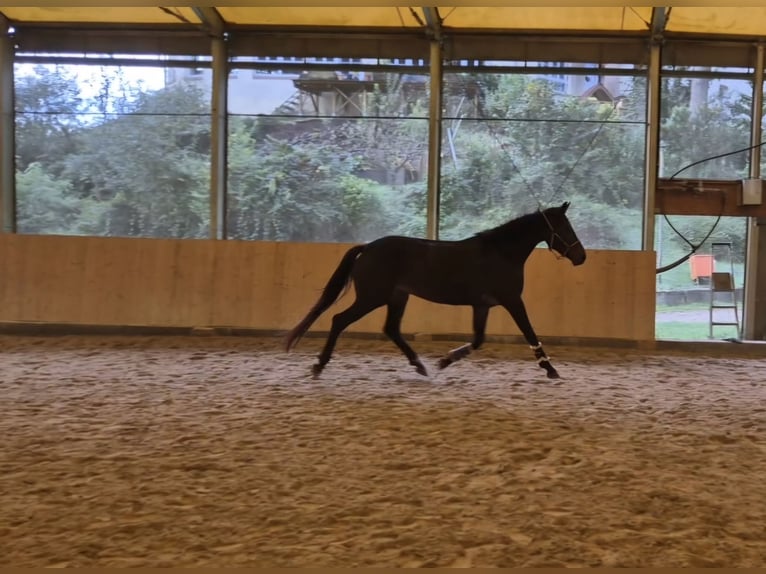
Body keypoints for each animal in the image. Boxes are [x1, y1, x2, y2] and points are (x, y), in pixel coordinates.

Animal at [286, 202, 588, 378]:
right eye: (565, 227)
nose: (581, 257)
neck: (501, 254)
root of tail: (368, 247)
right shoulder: (512, 300)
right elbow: (529, 332)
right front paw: (550, 368)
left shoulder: (482, 305)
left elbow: (478, 340)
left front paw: (445, 360)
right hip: (373, 297)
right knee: (340, 320)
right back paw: (319, 366)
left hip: (397, 297)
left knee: (391, 329)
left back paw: (420, 366)